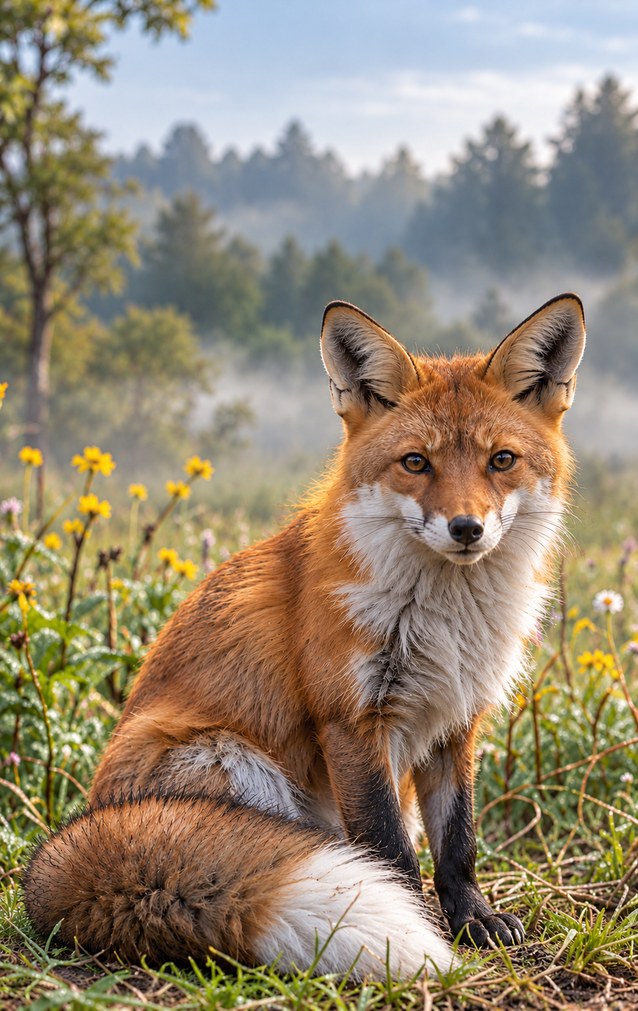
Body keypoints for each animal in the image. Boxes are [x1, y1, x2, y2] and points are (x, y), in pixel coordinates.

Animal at [24, 294, 586, 980]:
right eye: (416, 463)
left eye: (501, 460)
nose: (466, 528)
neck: (447, 621)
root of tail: (86, 824)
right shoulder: (353, 718)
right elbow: (388, 847)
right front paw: (420, 925)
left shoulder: (457, 718)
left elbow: (459, 842)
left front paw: (472, 918)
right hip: (232, 762)